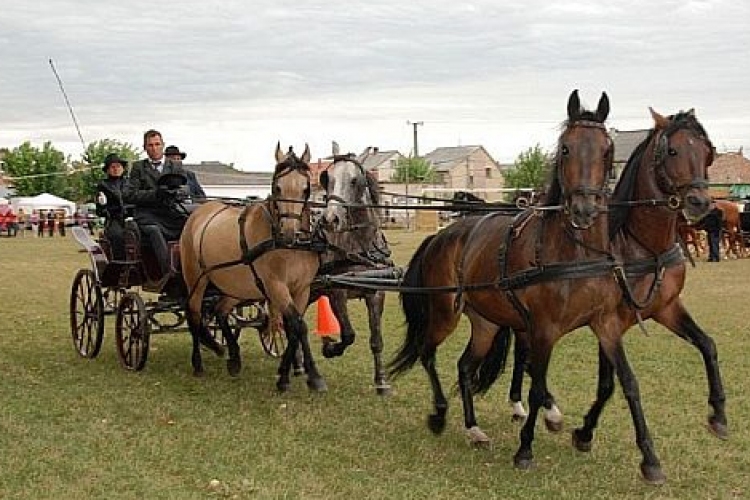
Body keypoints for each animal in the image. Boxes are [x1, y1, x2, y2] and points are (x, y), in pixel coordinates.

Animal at [181, 143, 328, 392]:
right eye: (277, 188)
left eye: (306, 188)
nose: (289, 234)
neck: (289, 248)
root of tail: (199, 212)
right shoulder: (276, 287)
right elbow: (298, 326)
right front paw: (314, 376)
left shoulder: (302, 289)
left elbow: (293, 326)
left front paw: (286, 374)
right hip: (196, 280)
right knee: (194, 315)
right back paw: (198, 362)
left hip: (236, 287)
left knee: (220, 311)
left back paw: (233, 358)